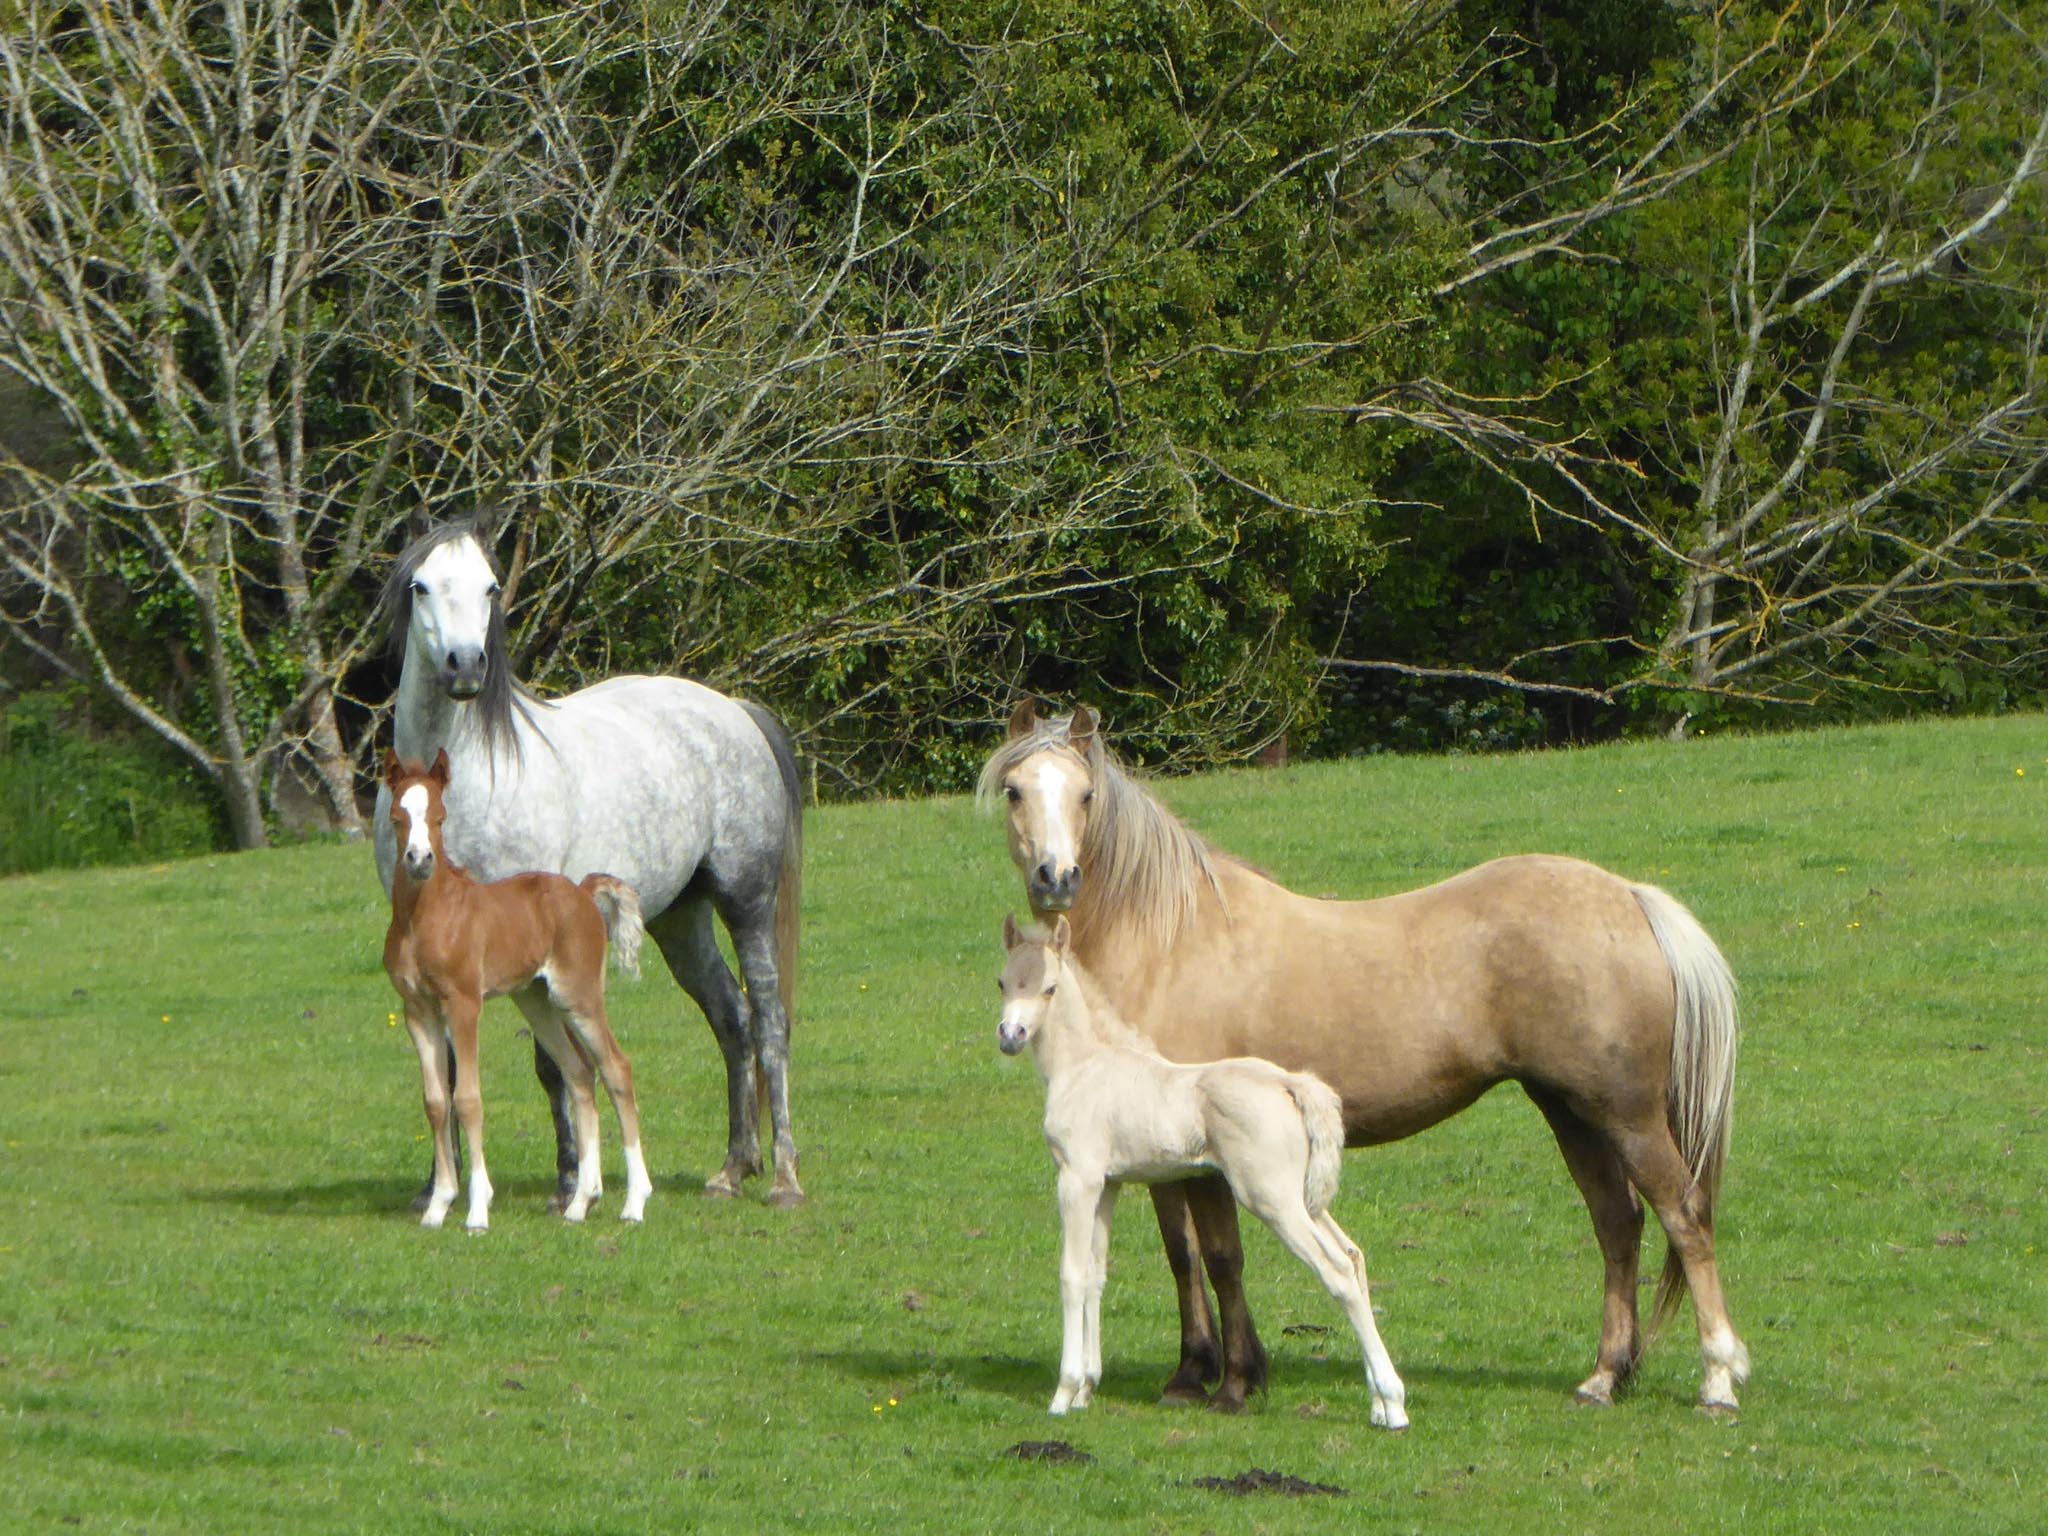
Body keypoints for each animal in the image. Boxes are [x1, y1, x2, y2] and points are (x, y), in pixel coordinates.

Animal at [378, 753, 647, 1236]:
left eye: (440, 818)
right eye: (396, 817)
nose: (420, 859)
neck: (426, 918)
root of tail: (582, 891)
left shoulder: (463, 1003)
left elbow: (467, 1099)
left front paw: (477, 1210)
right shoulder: (417, 1010)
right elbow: (435, 1102)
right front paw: (437, 1205)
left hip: (578, 997)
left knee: (615, 1068)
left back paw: (634, 1203)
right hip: (537, 1000)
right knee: (579, 1072)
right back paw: (580, 1202)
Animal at [995, 913, 1409, 1433]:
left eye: (1049, 988)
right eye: (1003, 981)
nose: (1011, 1035)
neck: (1088, 1067)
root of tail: (1288, 1083)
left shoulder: (1077, 1179)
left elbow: (1071, 1274)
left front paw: (1064, 1392)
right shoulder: (1107, 1185)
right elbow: (1095, 1275)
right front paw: (1088, 1387)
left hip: (1270, 1198)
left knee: (1337, 1272)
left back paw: (1394, 1404)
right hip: (1303, 1199)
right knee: (1353, 1258)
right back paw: (1379, 1403)